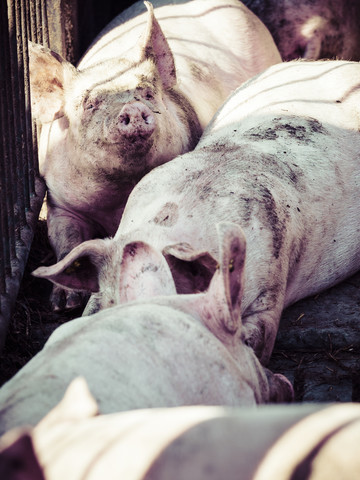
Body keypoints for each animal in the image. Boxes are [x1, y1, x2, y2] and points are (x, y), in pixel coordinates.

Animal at [30, 0, 282, 312]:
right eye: (90, 103)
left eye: (148, 93)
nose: (133, 108)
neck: (117, 194)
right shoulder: (59, 199)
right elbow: (66, 241)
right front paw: (64, 305)